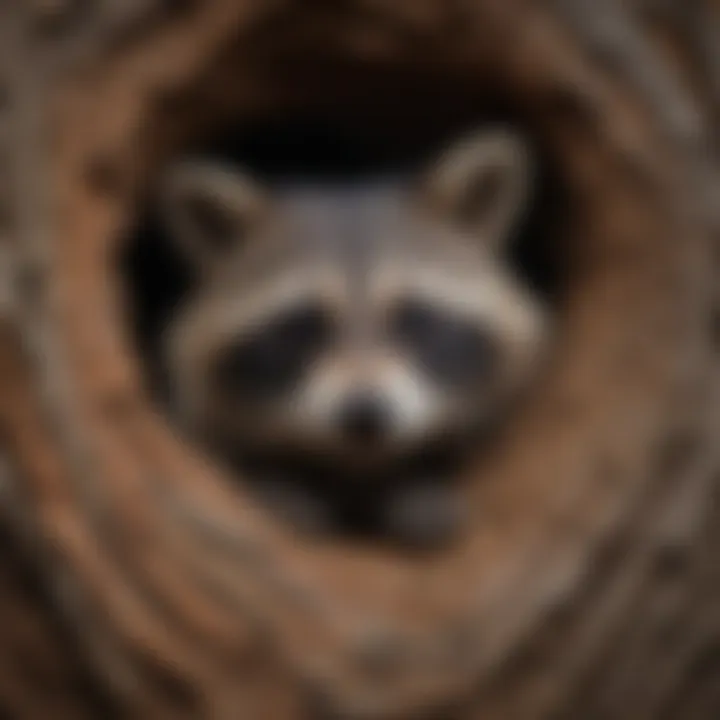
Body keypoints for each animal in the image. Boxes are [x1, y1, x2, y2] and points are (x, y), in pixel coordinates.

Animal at [159, 128, 552, 544]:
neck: (359, 464)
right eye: (304, 325)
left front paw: (419, 482)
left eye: (411, 318)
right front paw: (279, 479)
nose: (364, 414)